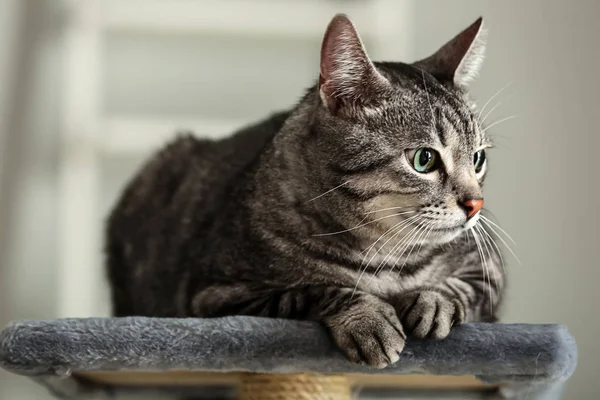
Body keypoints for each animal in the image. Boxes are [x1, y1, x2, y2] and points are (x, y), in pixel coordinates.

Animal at [104, 14, 506, 368]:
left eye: (477, 158)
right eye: (424, 159)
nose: (476, 204)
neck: (388, 258)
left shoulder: (489, 270)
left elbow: (460, 288)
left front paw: (433, 301)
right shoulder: (216, 296)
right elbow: (314, 290)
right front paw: (367, 320)